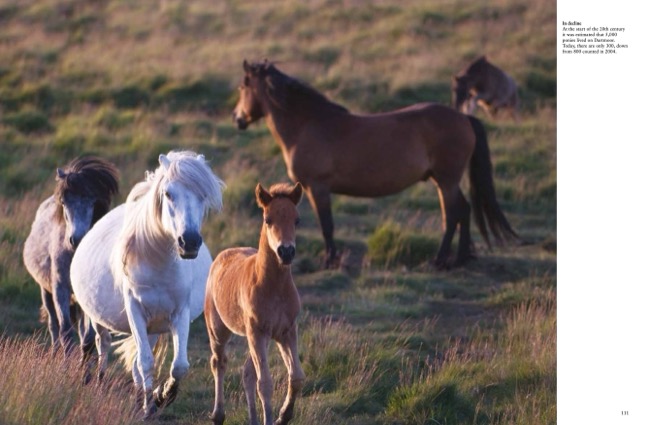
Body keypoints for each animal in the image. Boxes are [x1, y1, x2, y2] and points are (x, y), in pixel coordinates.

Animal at [23, 156, 119, 357]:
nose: (77, 239)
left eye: (93, 202)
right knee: (53, 326)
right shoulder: (60, 289)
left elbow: (88, 340)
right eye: (64, 202)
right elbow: (65, 332)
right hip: (46, 291)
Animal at [69, 150, 225, 416]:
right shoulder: (135, 311)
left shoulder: (179, 313)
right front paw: (153, 402)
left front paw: (162, 396)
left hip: (153, 327)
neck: (158, 262)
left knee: (135, 364)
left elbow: (178, 365)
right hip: (99, 318)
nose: (189, 242)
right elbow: (145, 363)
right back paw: (100, 383)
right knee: (103, 345)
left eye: (203, 195)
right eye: (168, 194)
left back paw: (141, 400)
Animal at [205, 182, 305, 425]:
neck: (274, 287)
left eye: (297, 220)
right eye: (268, 219)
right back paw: (218, 415)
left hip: (259, 338)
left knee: (247, 372)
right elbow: (265, 384)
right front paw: (273, 418)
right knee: (219, 362)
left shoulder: (286, 331)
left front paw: (283, 416)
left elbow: (296, 377)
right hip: (219, 330)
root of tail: (223, 254)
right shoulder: (258, 332)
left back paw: (252, 419)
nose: (286, 252)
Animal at [232, 60, 517, 269]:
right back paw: (460, 259)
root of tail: (464, 117)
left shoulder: (318, 188)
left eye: (243, 86)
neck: (307, 125)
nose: (238, 118)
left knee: (453, 215)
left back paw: (439, 261)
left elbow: (327, 226)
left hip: (446, 181)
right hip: (444, 181)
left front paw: (329, 261)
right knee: (465, 211)